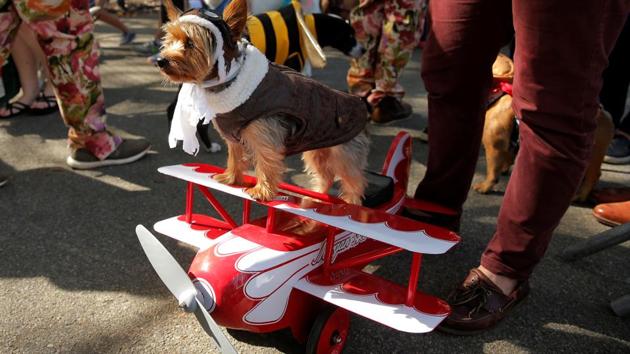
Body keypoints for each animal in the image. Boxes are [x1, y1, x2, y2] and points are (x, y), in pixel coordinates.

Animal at [157, 0, 370, 205]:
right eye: (169, 40)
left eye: (190, 43)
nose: (160, 60)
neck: (228, 83)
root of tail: (360, 104)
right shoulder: (234, 137)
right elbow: (235, 157)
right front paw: (231, 178)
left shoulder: (265, 137)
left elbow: (266, 162)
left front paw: (262, 191)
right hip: (319, 147)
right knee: (325, 175)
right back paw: (315, 198)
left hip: (343, 153)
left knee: (353, 182)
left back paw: (349, 205)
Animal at [476, 53, 616, 202]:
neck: (498, 92)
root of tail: (605, 114)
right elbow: (507, 159)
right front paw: (505, 169)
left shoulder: (494, 147)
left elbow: (492, 169)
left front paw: (485, 186)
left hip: (592, 155)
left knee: (592, 175)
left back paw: (581, 196)